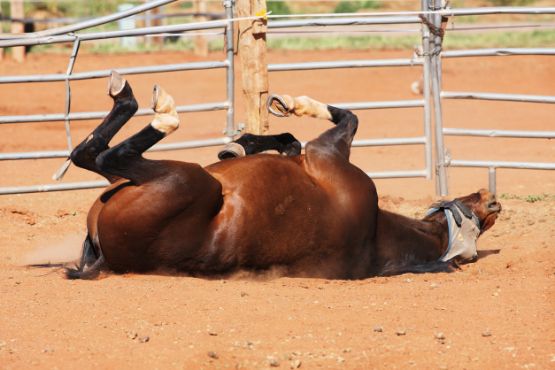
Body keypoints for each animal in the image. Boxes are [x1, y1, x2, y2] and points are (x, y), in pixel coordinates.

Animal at [66, 71, 504, 280]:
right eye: (478, 216)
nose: (492, 199)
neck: (377, 234)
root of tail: (106, 258)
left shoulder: (326, 153)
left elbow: (349, 119)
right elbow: (293, 142)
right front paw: (244, 142)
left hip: (186, 179)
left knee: (102, 155)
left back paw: (150, 105)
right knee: (92, 156)